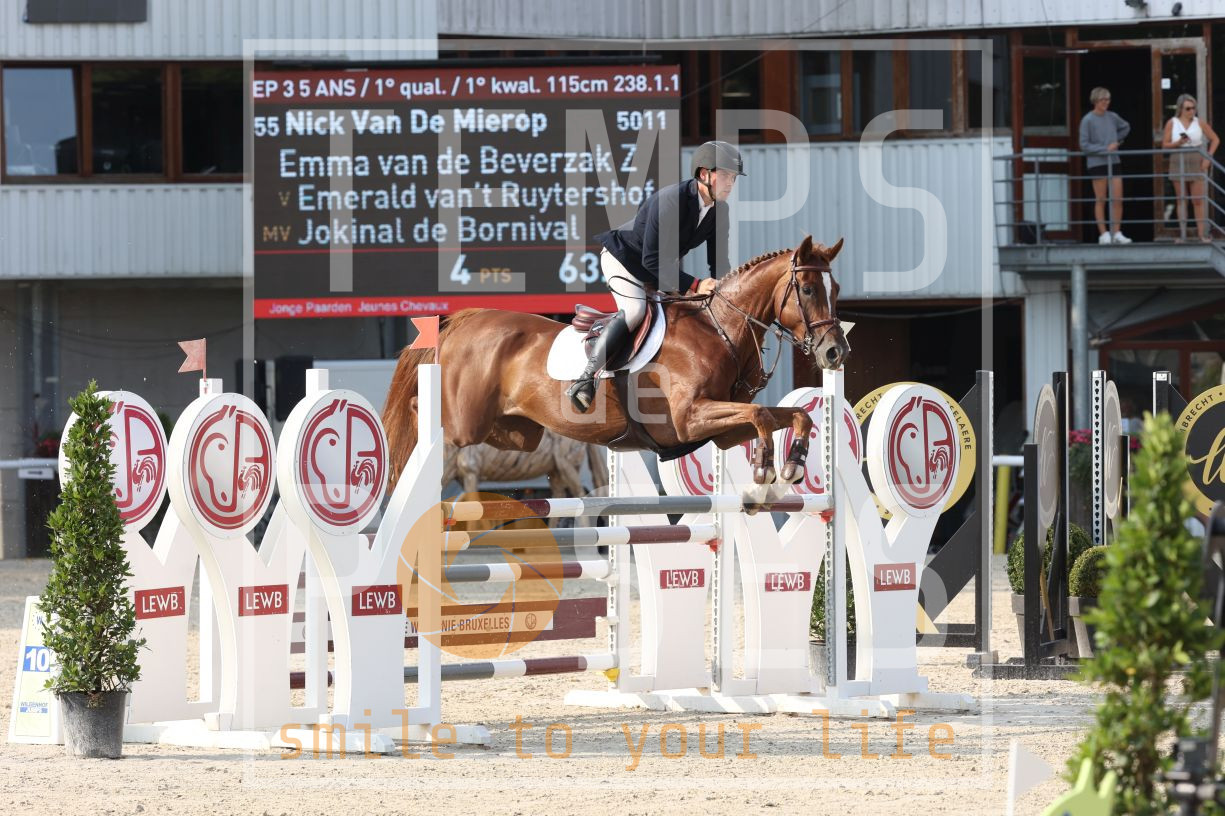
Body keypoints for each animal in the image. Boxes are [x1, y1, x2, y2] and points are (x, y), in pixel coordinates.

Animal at [384, 235, 849, 487]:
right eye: (808, 289)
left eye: (837, 288)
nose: (835, 352)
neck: (719, 329)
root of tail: (465, 320)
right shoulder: (690, 418)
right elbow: (761, 415)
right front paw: (765, 467)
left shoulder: (721, 431)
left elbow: (789, 415)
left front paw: (792, 465)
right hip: (467, 422)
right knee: (421, 409)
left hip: (517, 432)